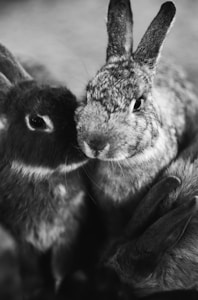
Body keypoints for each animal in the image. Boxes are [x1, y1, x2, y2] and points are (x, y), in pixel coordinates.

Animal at [0, 42, 89, 290]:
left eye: (70, 97)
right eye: (36, 121)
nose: (84, 145)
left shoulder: (69, 230)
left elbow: (60, 264)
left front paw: (57, 286)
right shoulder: (19, 236)